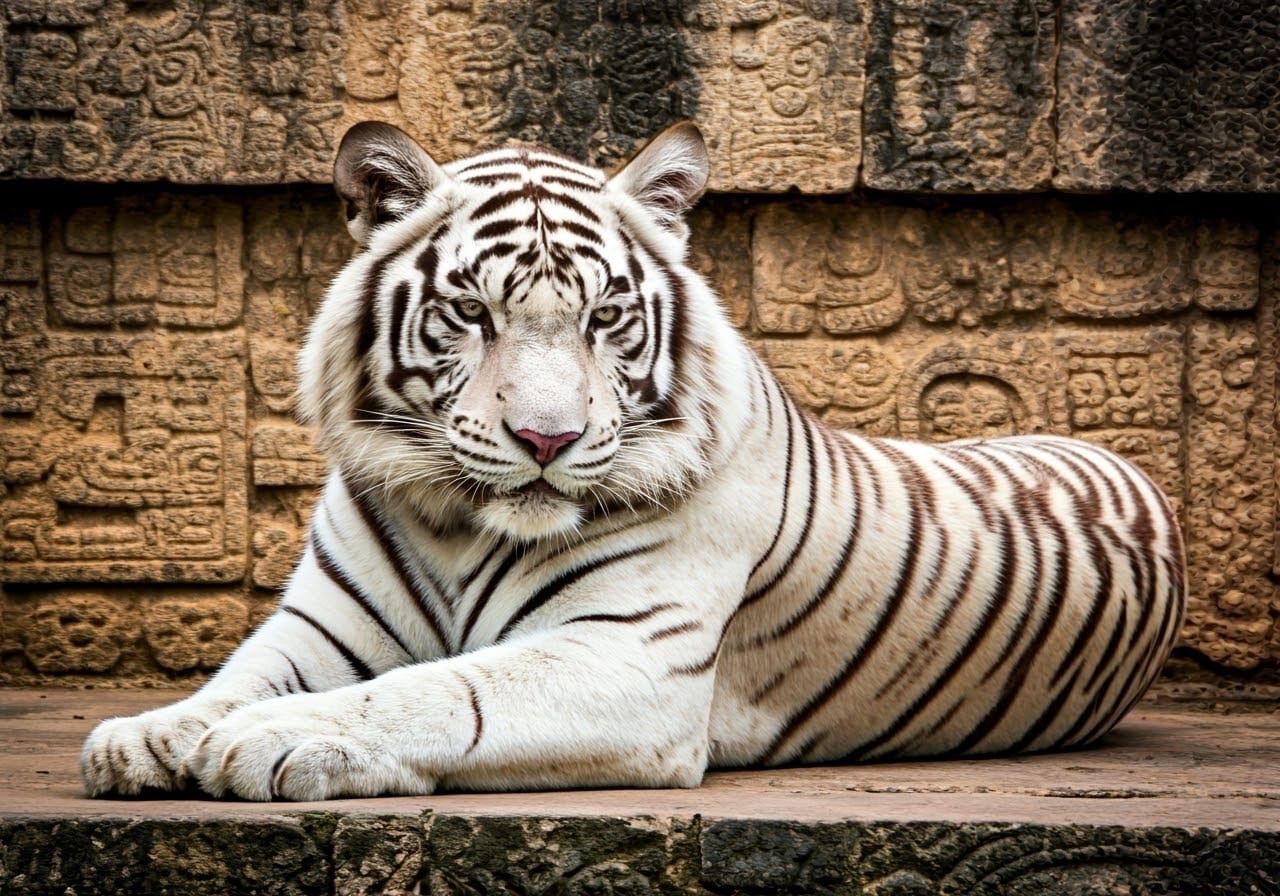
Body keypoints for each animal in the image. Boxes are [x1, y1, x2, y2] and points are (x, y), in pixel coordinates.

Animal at [81, 120, 1186, 801]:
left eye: (605, 317)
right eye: (471, 312)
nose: (547, 439)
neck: (456, 523)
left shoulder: (631, 654)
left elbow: (438, 691)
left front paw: (268, 741)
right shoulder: (321, 625)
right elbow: (236, 678)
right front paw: (147, 736)